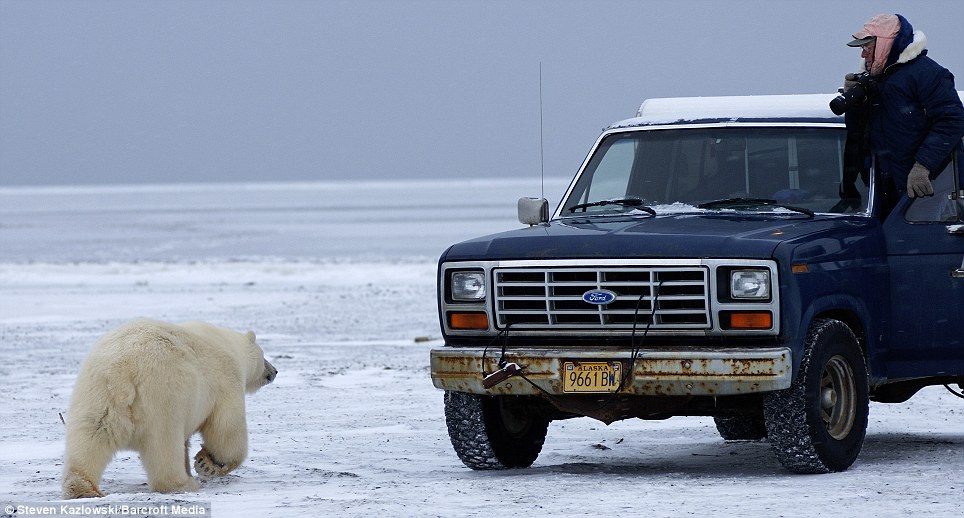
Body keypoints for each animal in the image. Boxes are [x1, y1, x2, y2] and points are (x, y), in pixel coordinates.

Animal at [62, 318, 276, 502]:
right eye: (264, 356)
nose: (274, 371)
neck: (230, 345)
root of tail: (122, 369)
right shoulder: (226, 381)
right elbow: (226, 430)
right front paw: (207, 464)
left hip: (97, 395)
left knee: (90, 437)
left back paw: (82, 488)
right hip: (163, 396)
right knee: (164, 445)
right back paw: (183, 484)